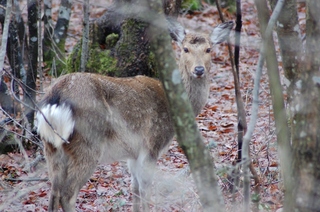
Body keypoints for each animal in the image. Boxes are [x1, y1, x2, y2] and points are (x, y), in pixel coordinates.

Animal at [36, 20, 234, 212]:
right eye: (185, 49)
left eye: (208, 49)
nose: (199, 69)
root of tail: (56, 97)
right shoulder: (152, 143)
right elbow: (146, 188)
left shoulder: (133, 153)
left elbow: (135, 188)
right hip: (88, 143)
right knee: (67, 194)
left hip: (52, 147)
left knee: (53, 193)